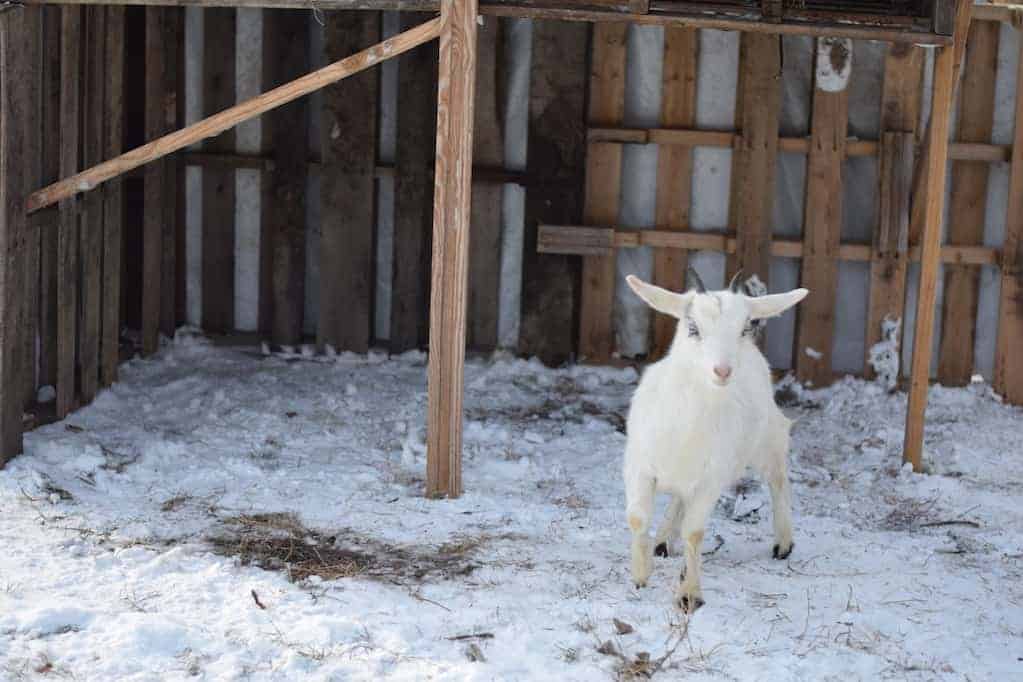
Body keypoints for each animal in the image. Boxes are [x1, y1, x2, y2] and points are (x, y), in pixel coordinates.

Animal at [621, 267, 806, 613]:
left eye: (744, 328)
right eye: (692, 327)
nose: (722, 370)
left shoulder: (711, 479)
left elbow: (694, 533)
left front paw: (690, 594)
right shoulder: (639, 467)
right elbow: (637, 518)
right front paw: (640, 575)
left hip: (767, 439)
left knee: (777, 477)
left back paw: (783, 542)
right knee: (679, 499)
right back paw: (663, 540)